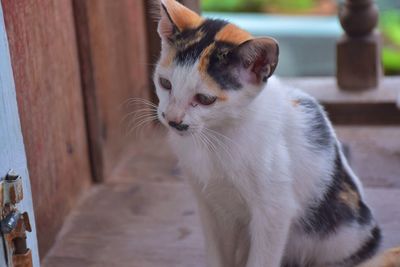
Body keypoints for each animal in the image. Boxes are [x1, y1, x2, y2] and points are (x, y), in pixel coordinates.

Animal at [151, 1, 396, 266]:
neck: (217, 136)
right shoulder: (209, 204)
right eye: (165, 83)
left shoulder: (274, 211)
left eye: (205, 99)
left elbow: (263, 257)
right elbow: (217, 252)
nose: (172, 119)